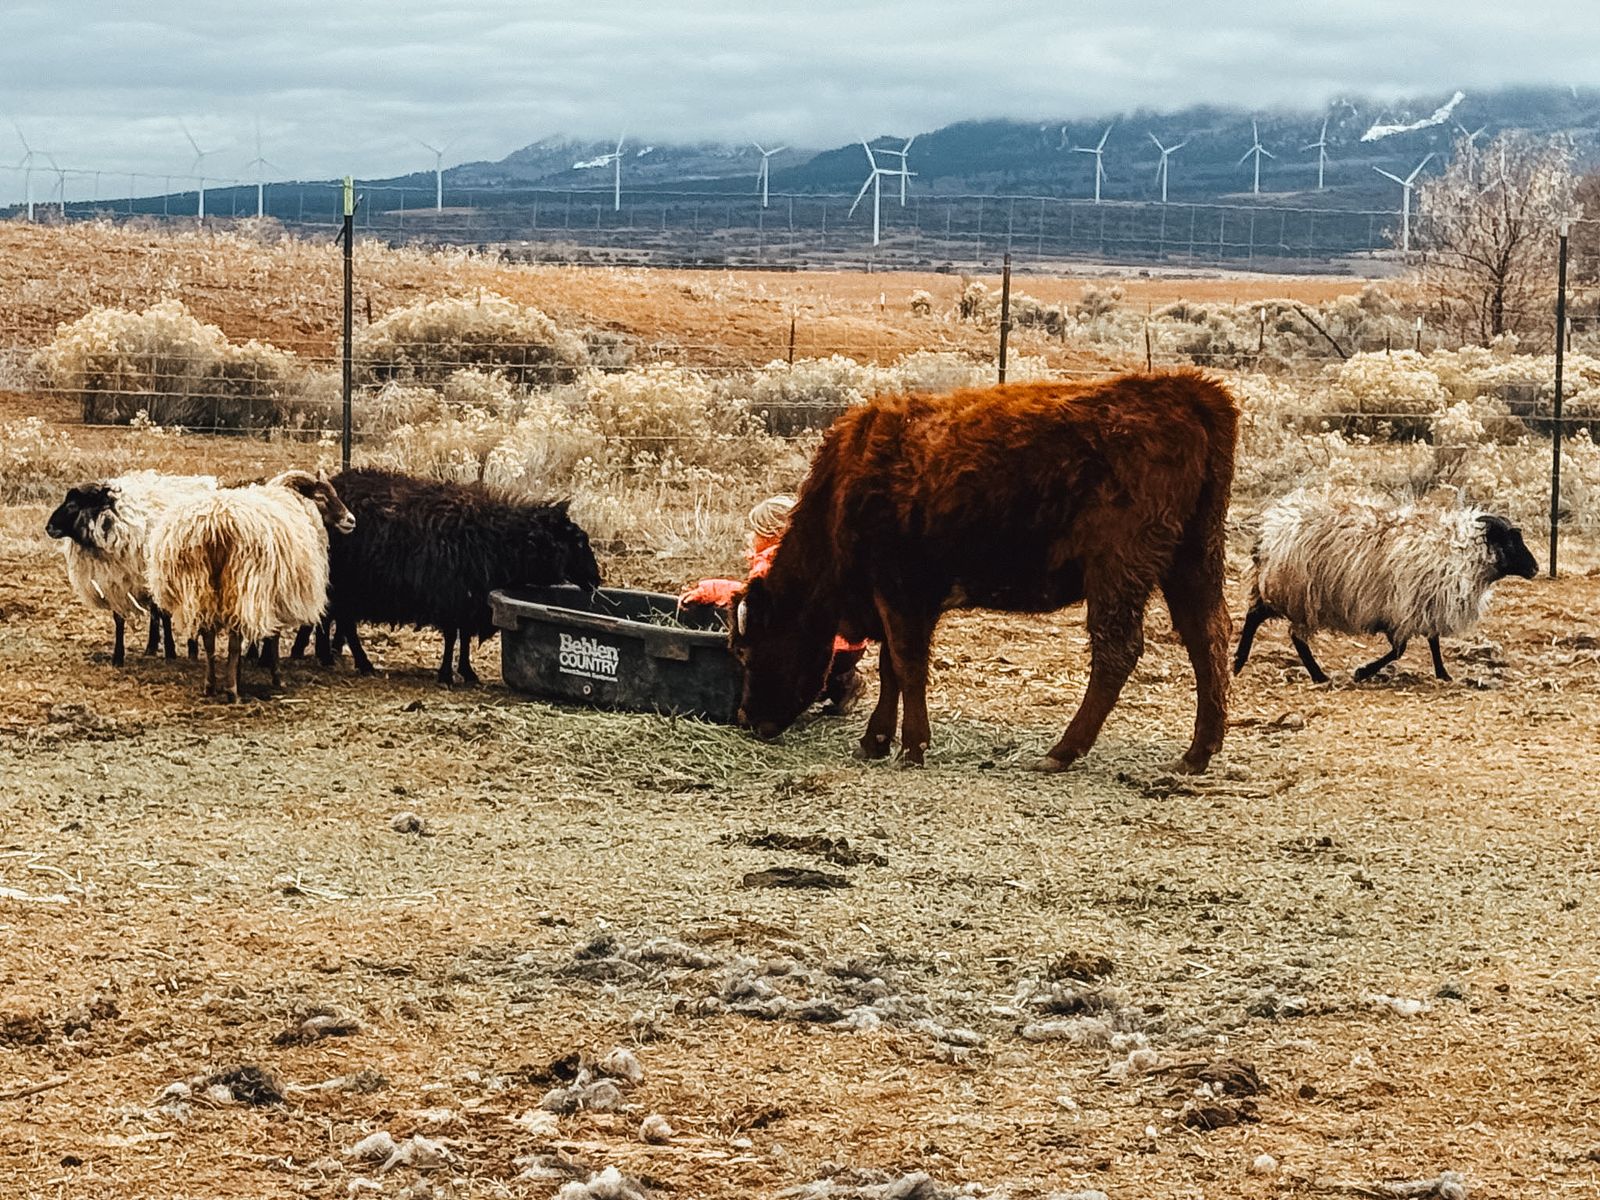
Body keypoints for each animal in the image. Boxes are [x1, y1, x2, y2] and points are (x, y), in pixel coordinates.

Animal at [730, 370, 1240, 773]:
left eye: (748, 652)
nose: (749, 719)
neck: (846, 487)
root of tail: (1184, 390)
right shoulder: (900, 602)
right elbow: (892, 667)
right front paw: (875, 742)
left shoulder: (901, 594)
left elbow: (908, 665)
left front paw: (911, 747)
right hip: (1194, 559)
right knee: (1207, 636)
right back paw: (1198, 753)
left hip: (1118, 571)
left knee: (1118, 650)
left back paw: (1060, 752)